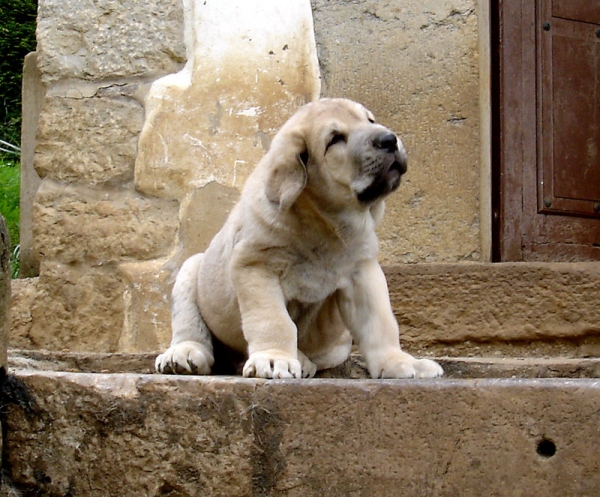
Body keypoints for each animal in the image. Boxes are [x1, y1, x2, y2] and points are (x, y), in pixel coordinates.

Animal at [157, 98, 442, 380]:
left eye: (369, 120)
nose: (389, 139)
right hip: (192, 269)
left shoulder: (362, 272)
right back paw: (183, 354)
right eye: (335, 139)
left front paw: (400, 362)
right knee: (190, 328)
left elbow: (380, 324)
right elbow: (274, 321)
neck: (323, 223)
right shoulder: (256, 266)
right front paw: (274, 359)